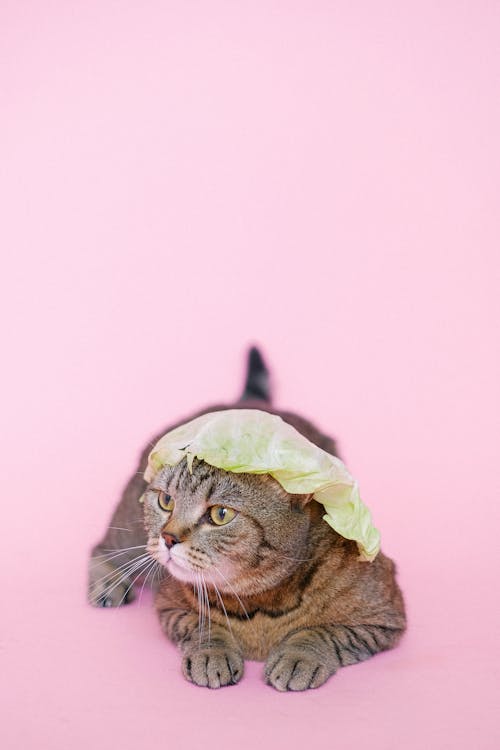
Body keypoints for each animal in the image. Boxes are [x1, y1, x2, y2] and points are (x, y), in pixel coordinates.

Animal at [87, 346, 406, 692]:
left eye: (220, 514)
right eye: (166, 500)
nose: (168, 538)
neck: (259, 602)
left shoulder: (383, 616)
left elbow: (323, 633)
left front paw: (298, 656)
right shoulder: (170, 604)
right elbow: (203, 625)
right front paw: (212, 651)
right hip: (130, 530)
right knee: (102, 548)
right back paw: (107, 583)